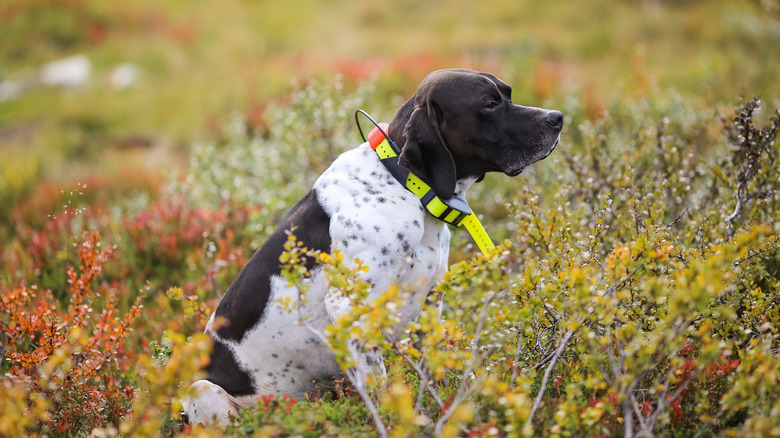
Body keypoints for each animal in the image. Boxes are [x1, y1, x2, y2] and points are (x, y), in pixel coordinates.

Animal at [183, 69, 560, 424]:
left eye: (507, 93)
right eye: (489, 103)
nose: (557, 118)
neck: (404, 184)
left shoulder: (430, 303)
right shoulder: (351, 310)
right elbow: (381, 388)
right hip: (202, 389)